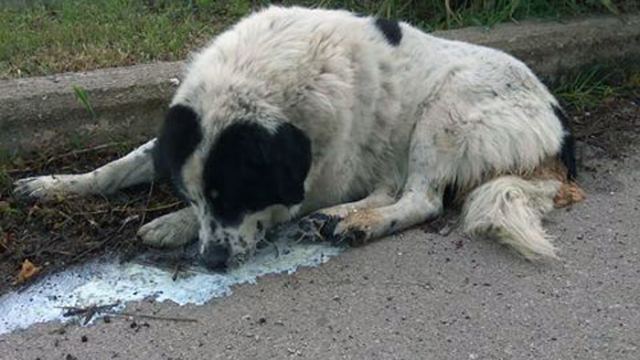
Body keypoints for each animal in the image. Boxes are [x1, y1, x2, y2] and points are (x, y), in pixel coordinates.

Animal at [13, 7, 584, 268]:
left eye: (233, 193)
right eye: (194, 193)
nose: (212, 262)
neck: (264, 83)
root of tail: (560, 131)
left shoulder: (318, 176)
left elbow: (279, 203)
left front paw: (171, 225)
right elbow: (118, 166)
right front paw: (55, 185)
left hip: (442, 113)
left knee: (419, 199)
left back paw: (356, 223)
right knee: (392, 188)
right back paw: (338, 220)